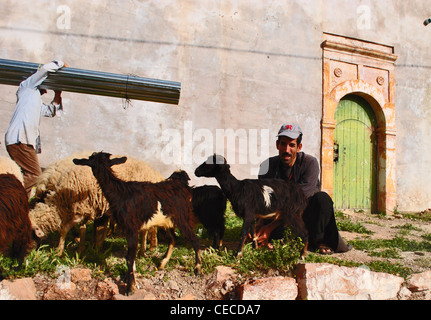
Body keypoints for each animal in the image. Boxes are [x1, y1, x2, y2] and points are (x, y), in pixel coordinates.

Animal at [29, 152, 164, 255]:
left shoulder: (80, 210)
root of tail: (154, 173)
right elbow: (90, 229)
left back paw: (149, 247)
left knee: (149, 228)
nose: (29, 256)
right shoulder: (92, 209)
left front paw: (59, 251)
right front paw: (87, 247)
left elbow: (66, 229)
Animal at [73, 152, 202, 296]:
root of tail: (181, 184)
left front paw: (130, 288)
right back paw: (162, 263)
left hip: (182, 217)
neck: (119, 193)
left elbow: (129, 258)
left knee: (194, 239)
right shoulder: (128, 229)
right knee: (173, 239)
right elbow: (131, 258)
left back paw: (197, 268)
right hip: (168, 220)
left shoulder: (132, 227)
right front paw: (133, 281)